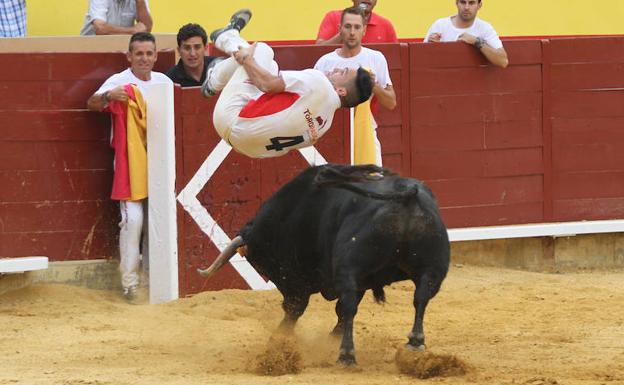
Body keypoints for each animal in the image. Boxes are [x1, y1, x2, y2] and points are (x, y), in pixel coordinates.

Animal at [200, 164, 448, 364]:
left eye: (263, 265)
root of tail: (407, 197)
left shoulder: (299, 280)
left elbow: (301, 308)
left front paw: (280, 337)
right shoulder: (359, 280)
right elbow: (338, 311)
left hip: (349, 267)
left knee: (349, 305)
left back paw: (346, 354)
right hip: (432, 269)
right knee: (420, 298)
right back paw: (415, 342)